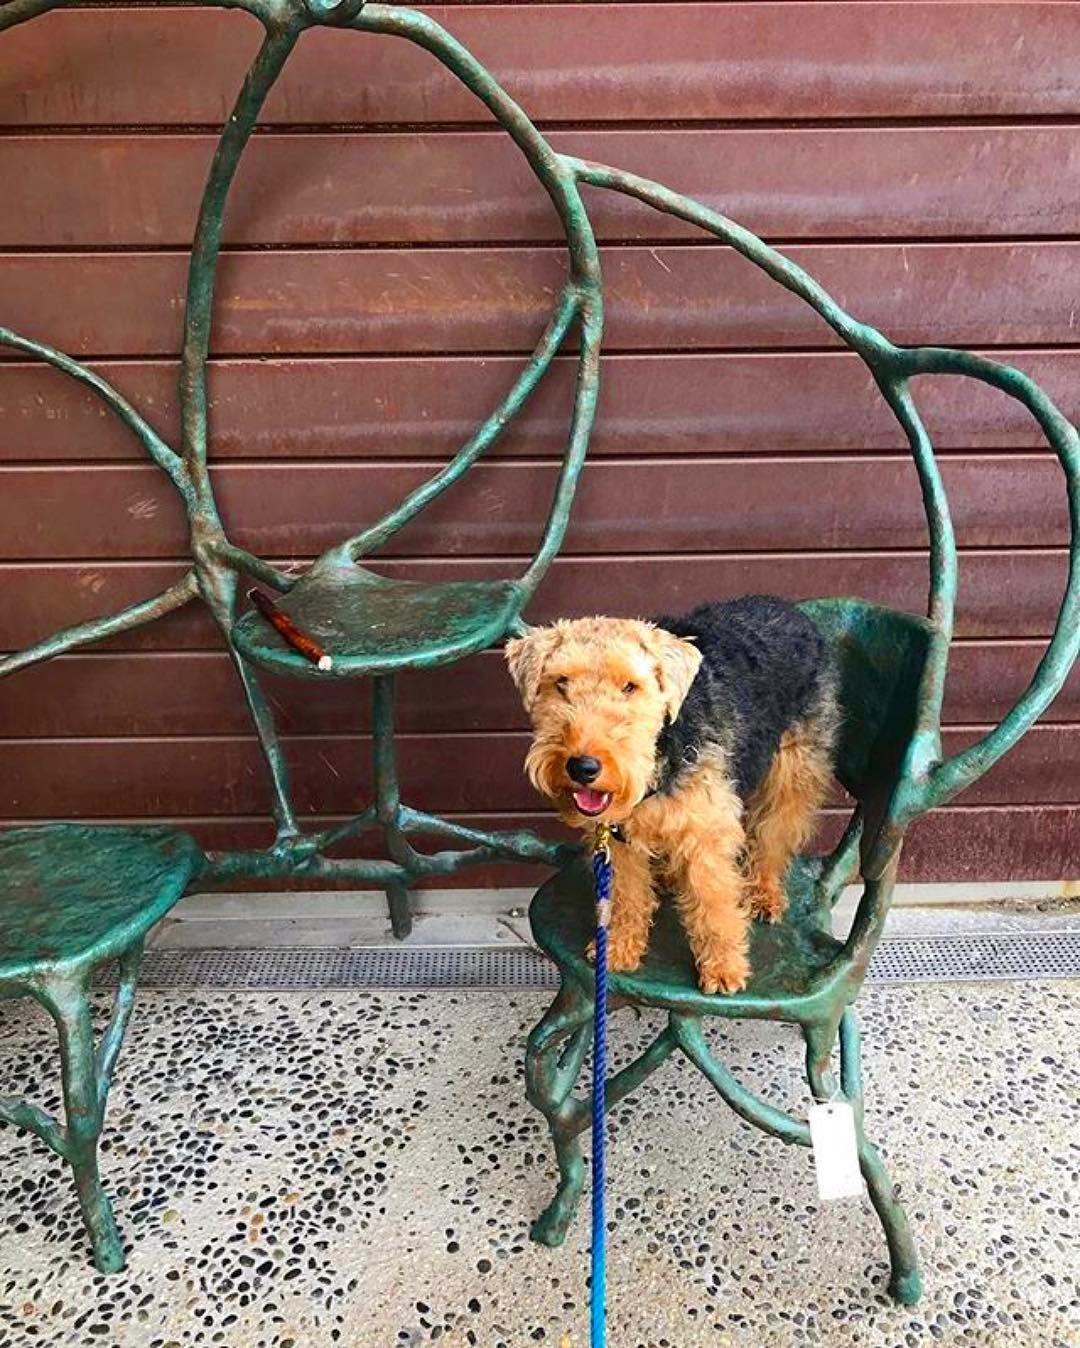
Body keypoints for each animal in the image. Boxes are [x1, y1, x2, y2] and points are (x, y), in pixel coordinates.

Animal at [505, 596, 838, 994]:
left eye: (630, 686)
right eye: (561, 682)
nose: (583, 767)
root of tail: (790, 608)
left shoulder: (706, 832)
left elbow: (714, 906)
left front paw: (724, 968)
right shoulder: (618, 842)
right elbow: (627, 898)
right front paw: (617, 949)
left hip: (791, 770)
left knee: (774, 835)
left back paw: (762, 893)